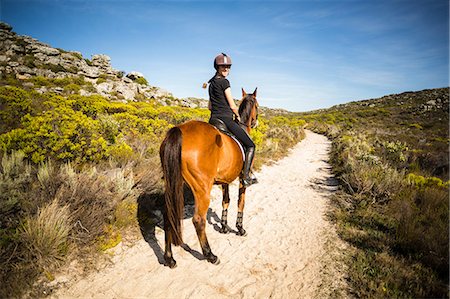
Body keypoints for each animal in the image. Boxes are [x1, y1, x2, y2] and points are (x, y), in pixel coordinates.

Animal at [160, 88, 258, 268]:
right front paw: (240, 228)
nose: (255, 122)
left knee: (168, 214)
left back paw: (169, 258)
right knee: (198, 220)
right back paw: (210, 255)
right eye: (257, 105)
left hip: (173, 184)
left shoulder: (225, 181)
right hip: (202, 189)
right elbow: (241, 202)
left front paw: (224, 227)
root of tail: (179, 130)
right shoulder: (242, 179)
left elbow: (226, 201)